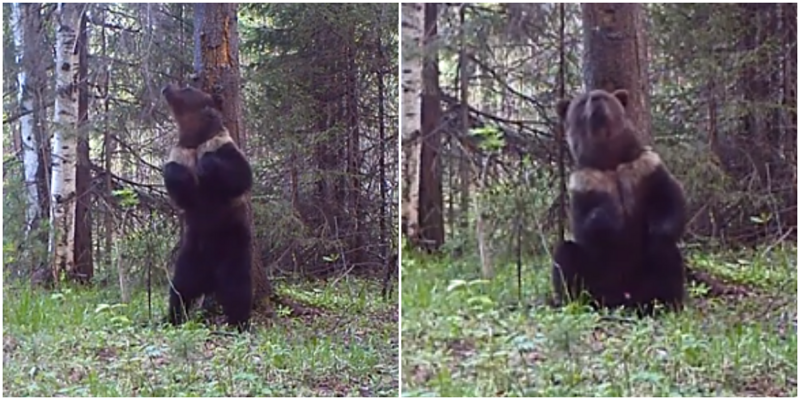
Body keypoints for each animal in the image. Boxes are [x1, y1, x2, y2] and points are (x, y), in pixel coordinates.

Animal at [161, 84, 252, 332]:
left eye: (186, 87)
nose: (167, 87)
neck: (194, 138)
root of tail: (210, 279)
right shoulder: (180, 153)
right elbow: (180, 192)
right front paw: (176, 173)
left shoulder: (222, 145)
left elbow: (240, 175)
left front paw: (207, 165)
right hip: (191, 254)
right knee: (180, 288)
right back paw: (173, 318)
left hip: (233, 245)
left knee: (237, 286)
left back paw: (239, 322)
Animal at [552, 88, 688, 316]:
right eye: (582, 101)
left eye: (605, 95)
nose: (596, 98)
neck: (611, 162)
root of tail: (624, 297)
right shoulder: (585, 184)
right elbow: (585, 226)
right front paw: (608, 217)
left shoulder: (644, 169)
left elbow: (670, 201)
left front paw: (658, 231)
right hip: (597, 274)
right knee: (566, 256)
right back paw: (578, 302)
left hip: (643, 271)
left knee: (668, 262)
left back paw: (665, 303)